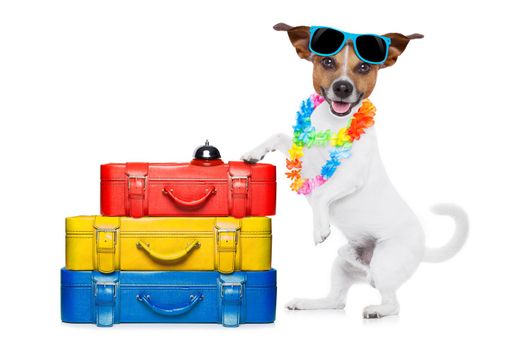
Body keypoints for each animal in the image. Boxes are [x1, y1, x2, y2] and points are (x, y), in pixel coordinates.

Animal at [241, 21, 466, 318]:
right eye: (327, 62)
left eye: (363, 67)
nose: (343, 87)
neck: (332, 124)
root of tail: (422, 247)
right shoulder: (304, 159)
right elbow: (278, 137)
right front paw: (254, 153)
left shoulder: (351, 175)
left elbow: (322, 193)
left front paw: (320, 228)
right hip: (343, 267)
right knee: (337, 299)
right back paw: (310, 300)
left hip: (385, 260)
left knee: (392, 302)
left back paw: (377, 310)